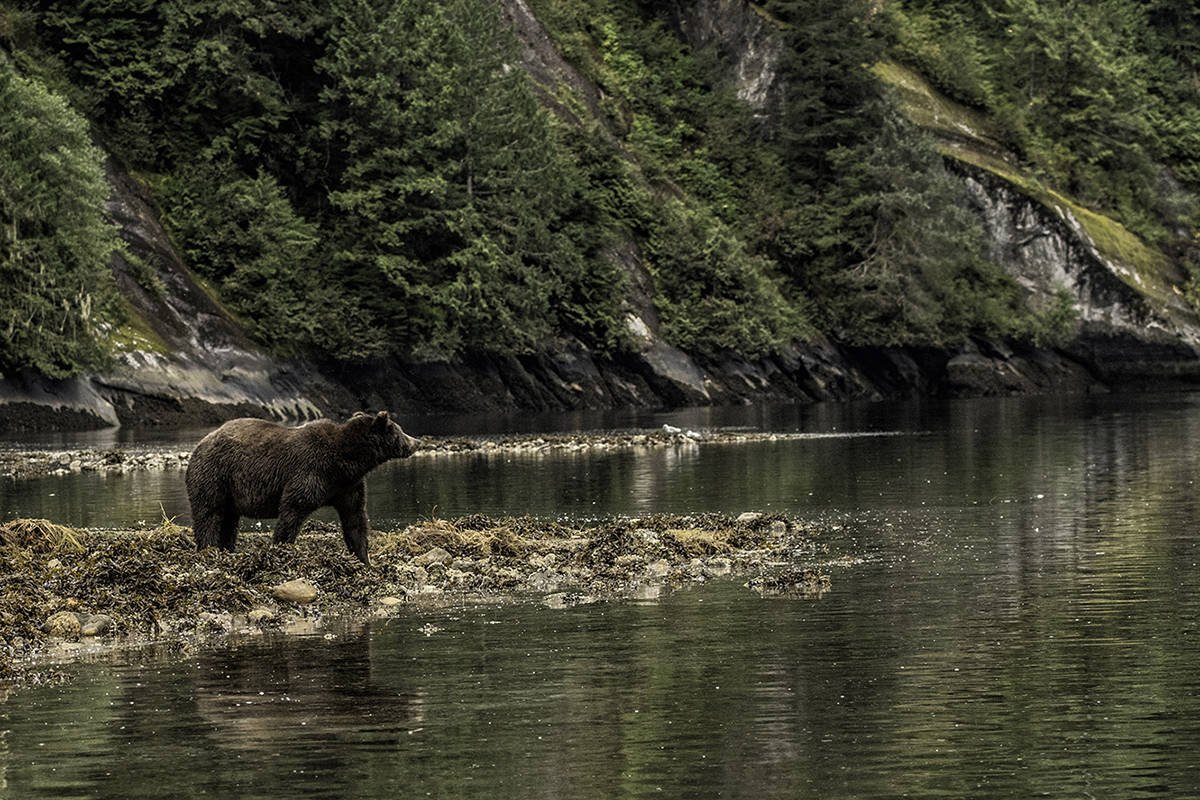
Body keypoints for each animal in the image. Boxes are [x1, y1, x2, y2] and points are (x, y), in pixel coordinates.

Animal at [181, 410, 417, 566]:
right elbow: (292, 510)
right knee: (209, 513)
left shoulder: (347, 486)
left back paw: (227, 549)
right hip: (215, 473)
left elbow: (355, 518)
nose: (416, 442)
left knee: (229, 520)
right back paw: (208, 548)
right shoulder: (310, 470)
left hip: (230, 489)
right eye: (400, 430)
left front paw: (364, 559)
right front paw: (281, 548)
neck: (346, 461)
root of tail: (199, 445)